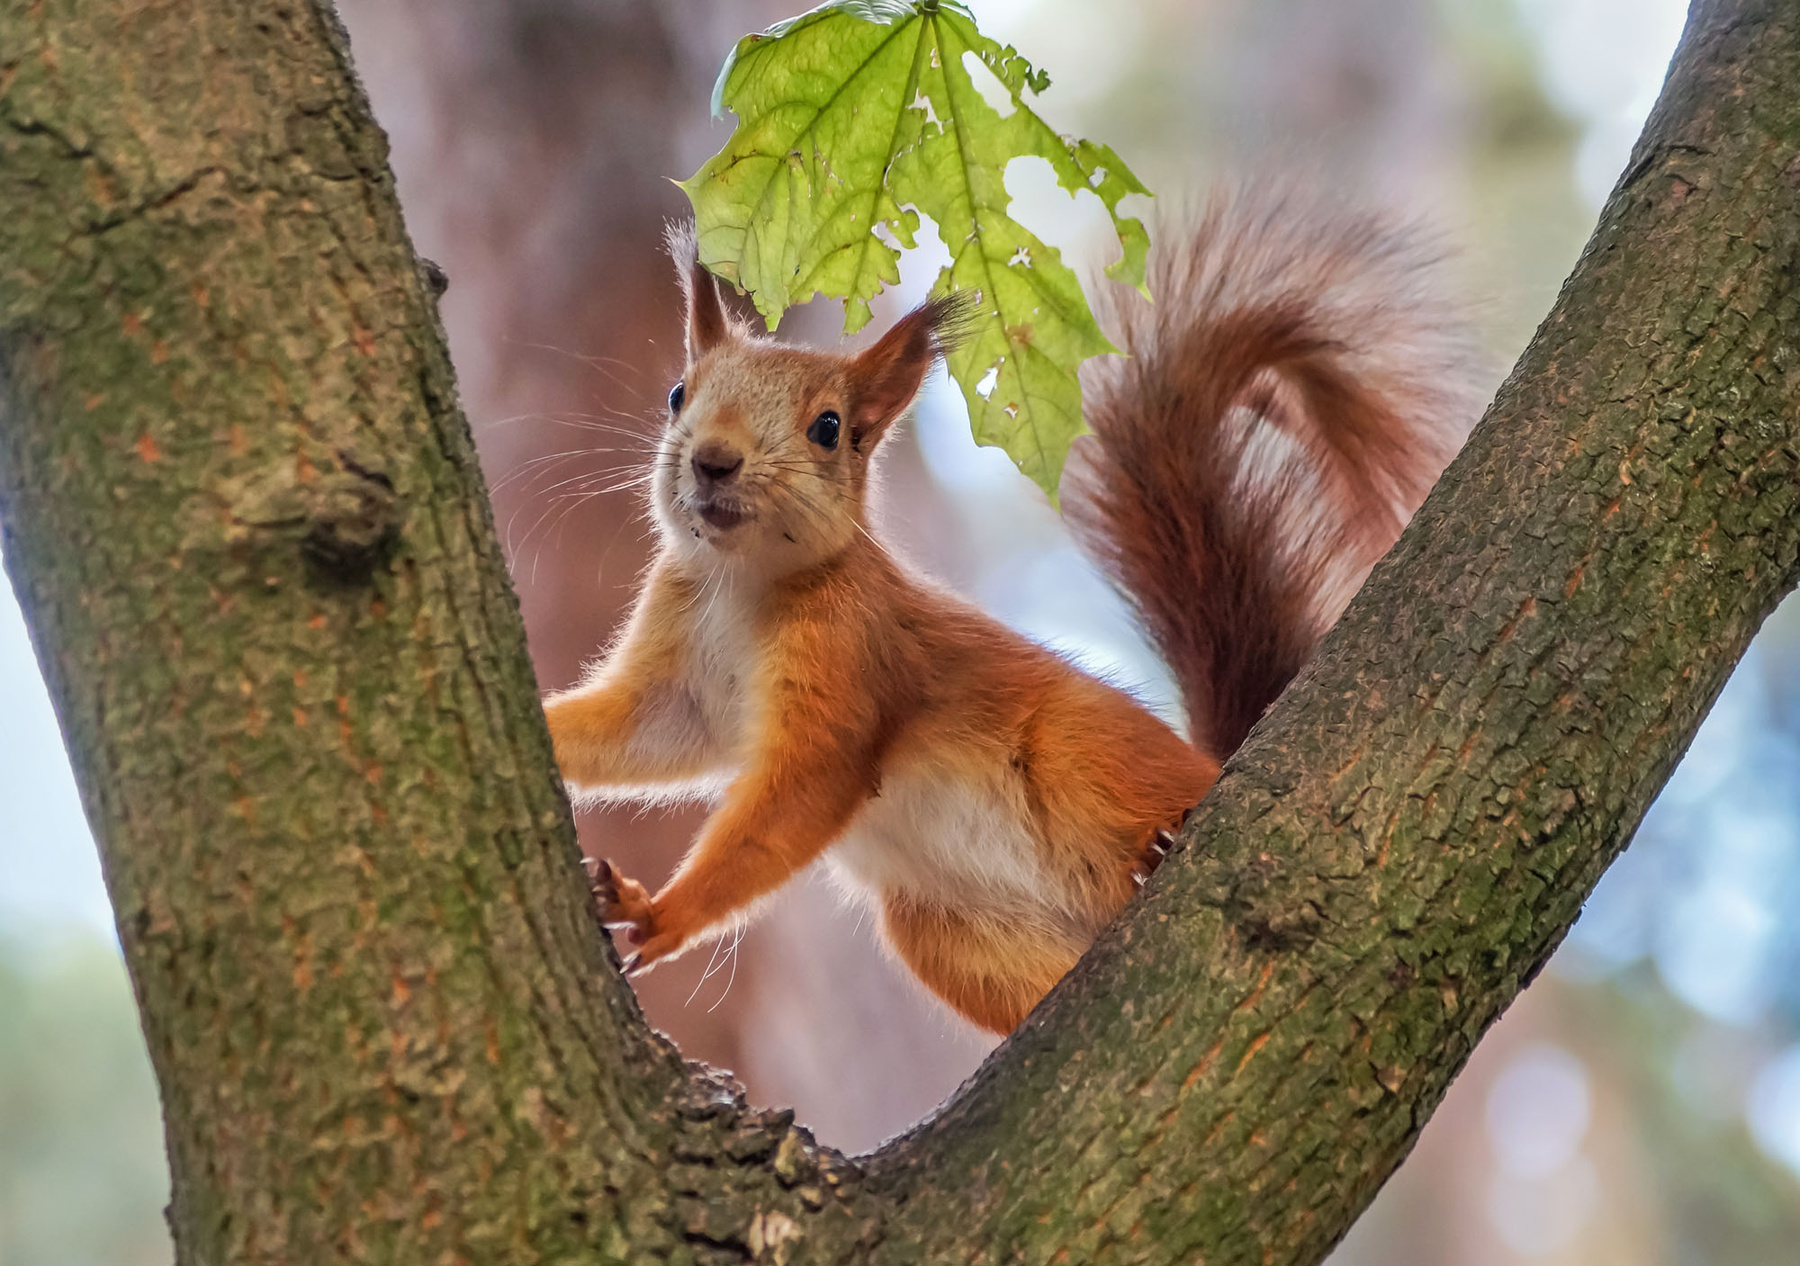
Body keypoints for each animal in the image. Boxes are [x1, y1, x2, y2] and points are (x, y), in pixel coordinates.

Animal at [542, 189, 1476, 1035]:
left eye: (829, 428)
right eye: (677, 394)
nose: (712, 460)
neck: (740, 584)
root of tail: (1217, 766)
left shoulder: (855, 660)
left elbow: (803, 790)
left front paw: (658, 913)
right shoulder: (680, 684)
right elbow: (634, 735)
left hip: (1083, 754)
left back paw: (1159, 852)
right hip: (942, 932)